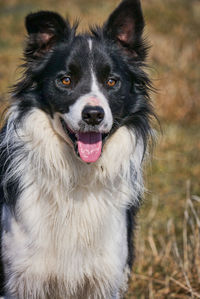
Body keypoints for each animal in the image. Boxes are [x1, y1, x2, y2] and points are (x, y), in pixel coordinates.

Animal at [0, 1, 153, 298]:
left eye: (112, 82)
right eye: (66, 81)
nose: (93, 114)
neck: (78, 174)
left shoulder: (105, 276)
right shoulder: (19, 278)